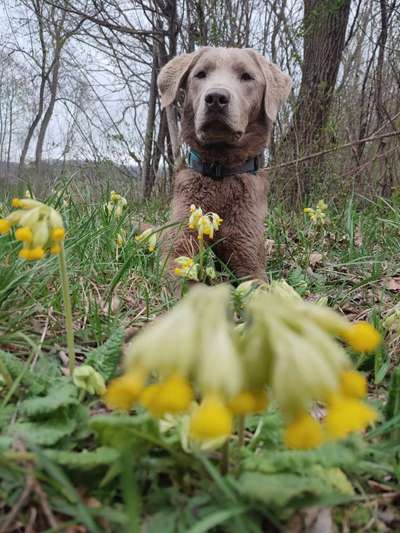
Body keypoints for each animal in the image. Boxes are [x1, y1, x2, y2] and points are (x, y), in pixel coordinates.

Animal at [158, 47, 292, 280]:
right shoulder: (178, 247)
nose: (216, 98)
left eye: (247, 76)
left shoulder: (249, 256)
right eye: (200, 74)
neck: (220, 171)